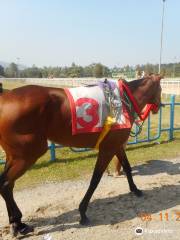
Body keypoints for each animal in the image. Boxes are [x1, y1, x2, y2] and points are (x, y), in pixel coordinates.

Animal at [0, 75, 162, 236]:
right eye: (160, 89)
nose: (159, 105)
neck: (122, 100)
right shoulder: (107, 149)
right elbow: (95, 179)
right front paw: (83, 212)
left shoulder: (116, 145)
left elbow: (127, 167)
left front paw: (135, 189)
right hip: (27, 155)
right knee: (6, 184)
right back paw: (17, 223)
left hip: (14, 156)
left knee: (7, 183)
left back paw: (18, 223)